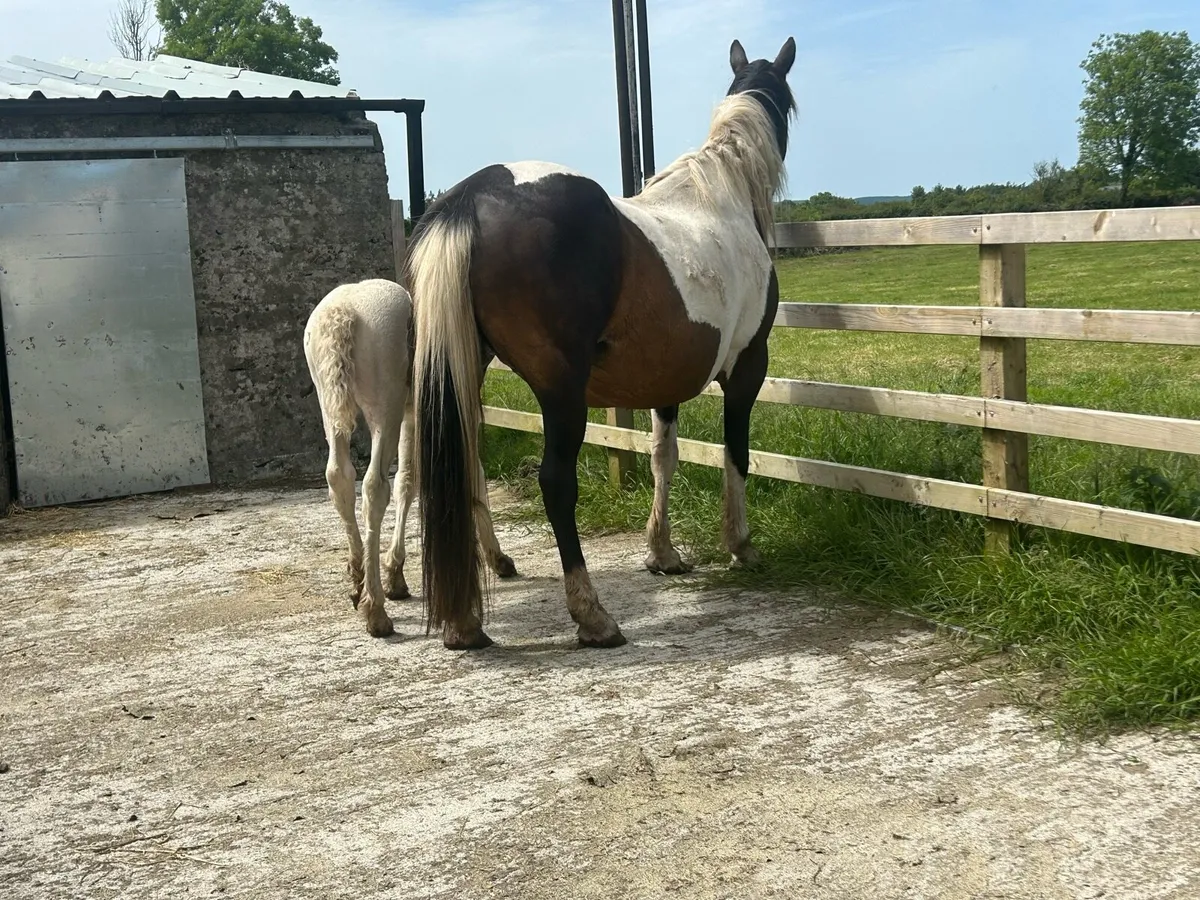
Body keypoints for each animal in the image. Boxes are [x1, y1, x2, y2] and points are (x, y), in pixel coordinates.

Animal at [302, 278, 518, 638]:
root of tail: (343, 311)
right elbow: (473, 471)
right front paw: (497, 556)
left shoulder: (413, 415)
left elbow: (406, 481)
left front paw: (395, 572)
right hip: (383, 413)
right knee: (373, 488)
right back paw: (375, 610)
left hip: (330, 410)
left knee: (339, 478)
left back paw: (358, 580)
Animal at [408, 38, 796, 650]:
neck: (721, 196)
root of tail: (472, 196)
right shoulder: (746, 365)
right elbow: (736, 453)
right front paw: (740, 545)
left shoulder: (667, 376)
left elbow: (664, 456)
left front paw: (662, 553)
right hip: (561, 391)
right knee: (555, 482)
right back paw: (593, 616)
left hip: (462, 371)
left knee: (462, 463)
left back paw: (467, 619)